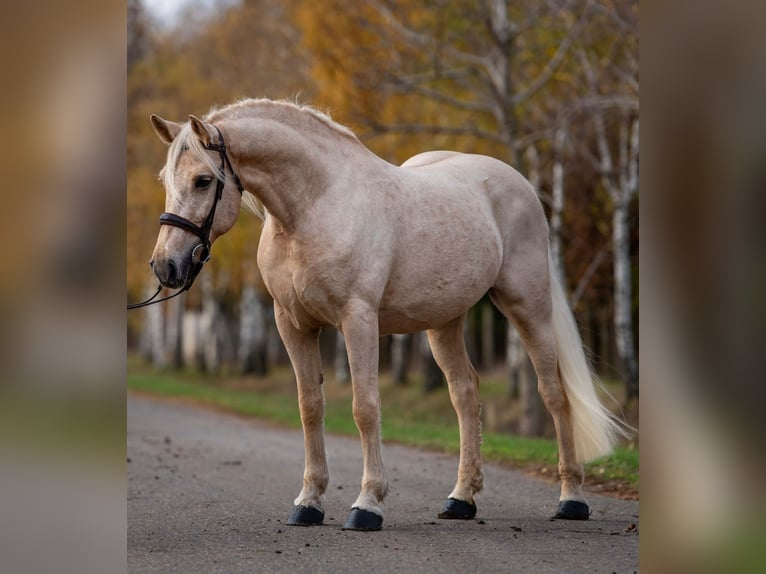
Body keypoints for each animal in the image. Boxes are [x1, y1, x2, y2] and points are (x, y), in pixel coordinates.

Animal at [147, 98, 627, 531]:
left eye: (204, 180)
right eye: (166, 179)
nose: (165, 267)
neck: (315, 206)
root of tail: (520, 184)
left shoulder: (357, 320)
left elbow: (365, 407)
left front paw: (367, 505)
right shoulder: (293, 325)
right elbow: (310, 407)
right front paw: (308, 503)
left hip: (528, 305)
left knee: (553, 393)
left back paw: (571, 499)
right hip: (444, 322)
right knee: (465, 394)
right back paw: (461, 499)